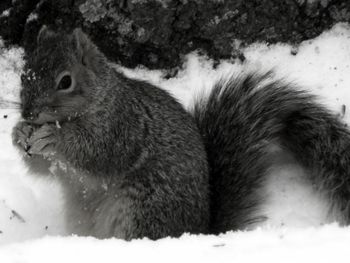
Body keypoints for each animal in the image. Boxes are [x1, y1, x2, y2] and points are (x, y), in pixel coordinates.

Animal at [11, 25, 350, 240]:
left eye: (65, 81)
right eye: (24, 75)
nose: (28, 113)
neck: (99, 99)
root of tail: (197, 232)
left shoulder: (123, 126)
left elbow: (98, 152)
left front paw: (54, 138)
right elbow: (45, 169)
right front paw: (19, 133)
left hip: (145, 208)